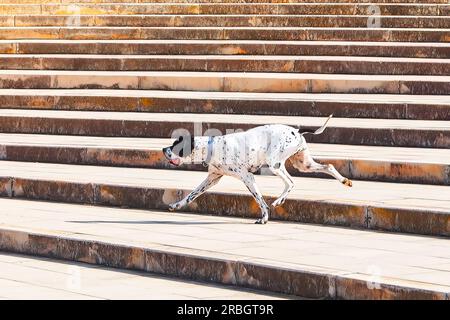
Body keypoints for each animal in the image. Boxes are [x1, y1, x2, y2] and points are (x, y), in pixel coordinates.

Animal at [163, 115, 354, 225]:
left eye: (175, 145)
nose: (164, 149)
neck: (212, 147)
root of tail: (296, 130)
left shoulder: (248, 177)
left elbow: (260, 200)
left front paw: (264, 218)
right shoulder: (212, 179)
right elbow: (191, 195)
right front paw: (176, 205)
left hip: (275, 164)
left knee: (291, 182)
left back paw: (278, 201)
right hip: (303, 164)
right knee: (328, 166)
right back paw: (345, 181)